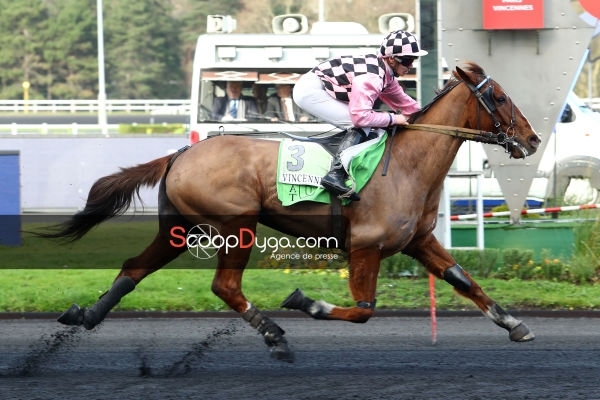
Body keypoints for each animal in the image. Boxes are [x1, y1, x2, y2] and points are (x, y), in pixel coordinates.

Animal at [42, 63, 540, 362]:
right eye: (498, 97)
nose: (533, 140)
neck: (406, 165)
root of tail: (181, 153)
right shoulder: (366, 247)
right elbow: (363, 310)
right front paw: (306, 301)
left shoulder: (418, 240)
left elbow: (464, 280)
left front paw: (515, 324)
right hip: (236, 223)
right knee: (224, 285)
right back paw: (273, 333)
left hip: (179, 228)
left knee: (134, 267)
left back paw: (86, 315)